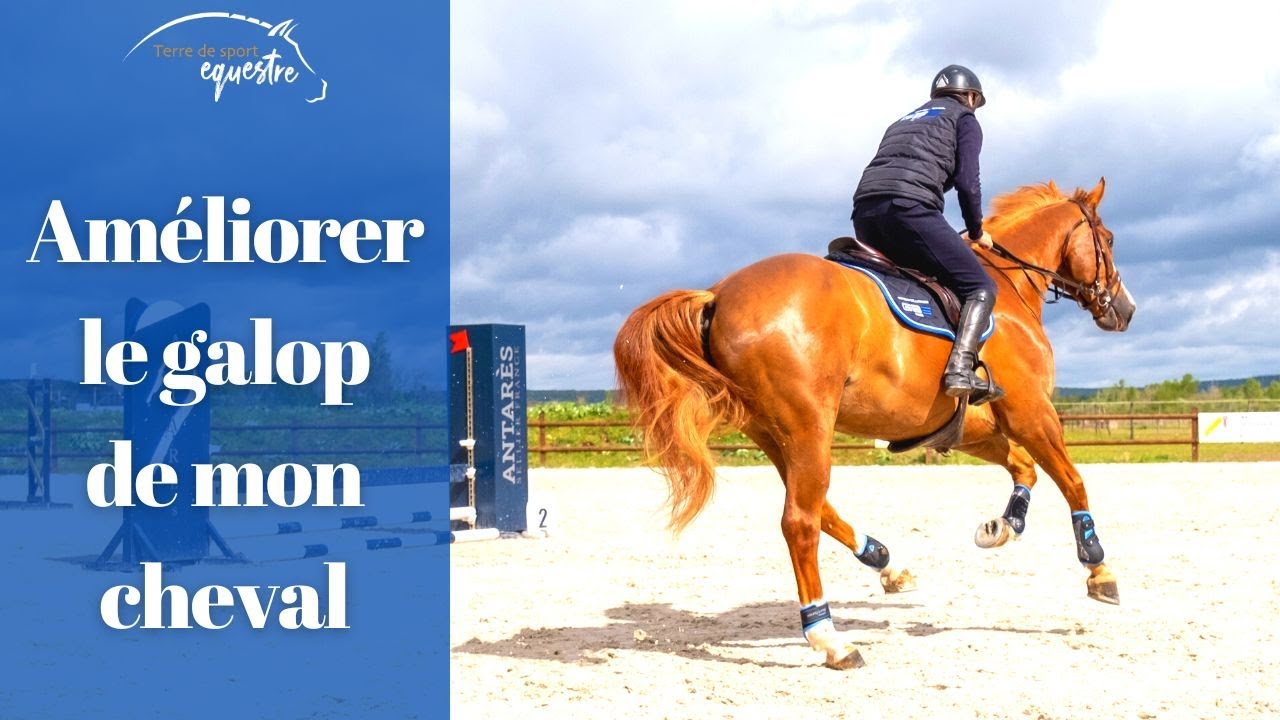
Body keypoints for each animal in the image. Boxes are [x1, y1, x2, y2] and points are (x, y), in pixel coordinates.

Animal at [613, 178, 1136, 669]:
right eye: (1108, 239)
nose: (1126, 310)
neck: (1008, 292)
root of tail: (717, 295)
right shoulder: (1030, 411)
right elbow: (1072, 481)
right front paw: (1098, 567)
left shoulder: (972, 426)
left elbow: (1024, 468)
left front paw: (1003, 526)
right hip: (809, 427)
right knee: (799, 521)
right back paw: (830, 639)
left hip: (777, 434)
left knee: (820, 510)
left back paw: (885, 562)